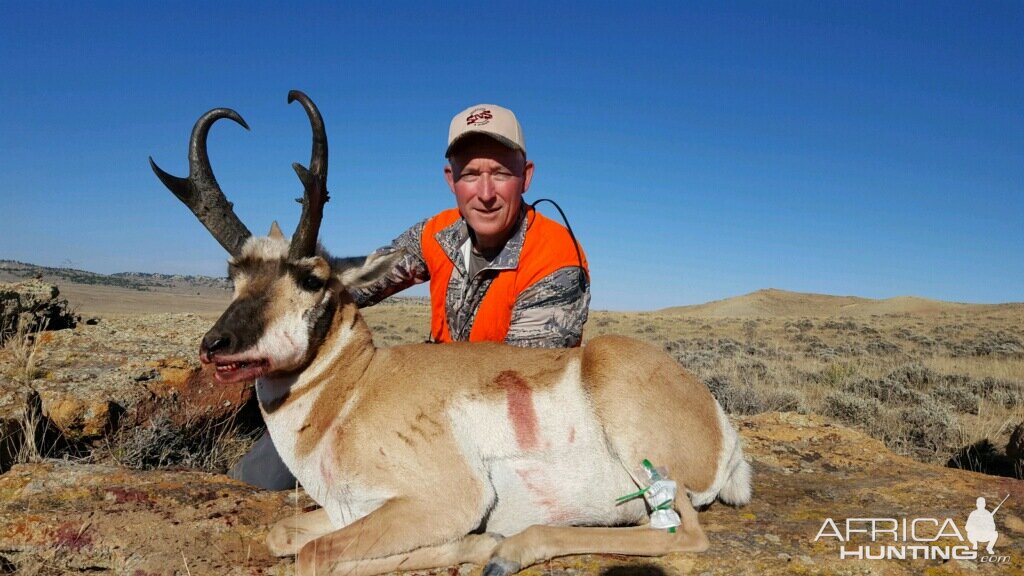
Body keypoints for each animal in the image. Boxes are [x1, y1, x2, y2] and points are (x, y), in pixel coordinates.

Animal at [148, 91, 749, 569]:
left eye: (312, 278)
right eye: (233, 275)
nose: (215, 347)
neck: (353, 390)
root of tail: (718, 421)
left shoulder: (440, 502)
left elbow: (315, 556)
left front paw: (479, 544)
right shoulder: (347, 509)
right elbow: (285, 535)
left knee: (682, 534)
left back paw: (508, 549)